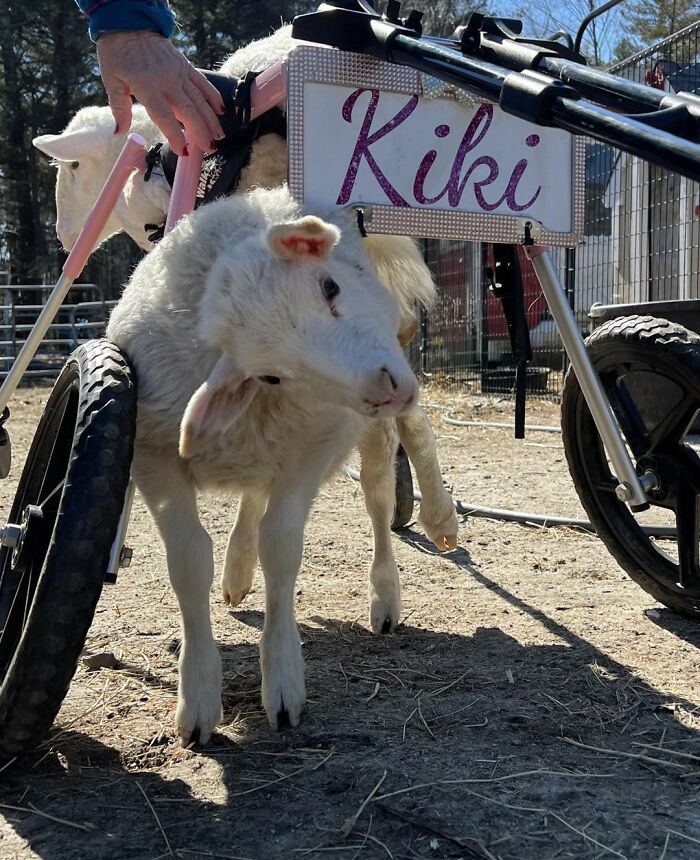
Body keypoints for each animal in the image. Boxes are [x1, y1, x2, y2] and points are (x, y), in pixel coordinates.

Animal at [106, 184, 420, 742]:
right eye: (272, 376)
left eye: (330, 286)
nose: (386, 389)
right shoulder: (153, 458)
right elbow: (188, 560)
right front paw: (198, 696)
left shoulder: (311, 449)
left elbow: (281, 545)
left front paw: (283, 682)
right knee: (253, 497)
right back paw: (236, 571)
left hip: (368, 441)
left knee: (379, 501)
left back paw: (384, 597)